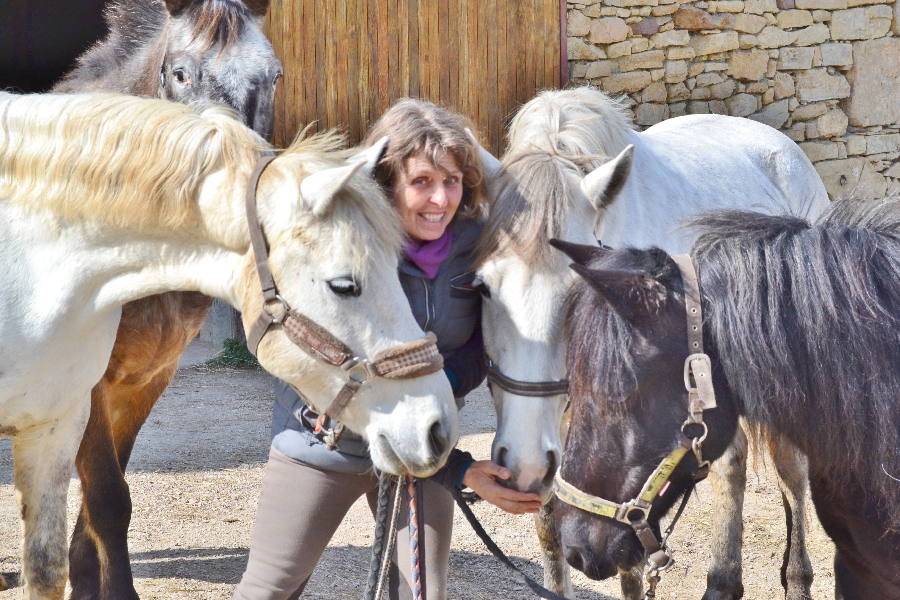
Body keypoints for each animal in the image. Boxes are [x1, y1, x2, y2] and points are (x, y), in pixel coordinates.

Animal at [51, 2, 282, 596]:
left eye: (273, 76)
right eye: (180, 74)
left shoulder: (147, 378)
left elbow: (102, 490)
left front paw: (85, 580)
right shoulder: (84, 380)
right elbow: (109, 498)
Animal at [472, 86, 828, 596]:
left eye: (576, 293)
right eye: (482, 287)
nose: (522, 463)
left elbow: (629, 565)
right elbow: (551, 536)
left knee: (792, 471)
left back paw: (797, 578)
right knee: (731, 458)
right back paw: (723, 580)